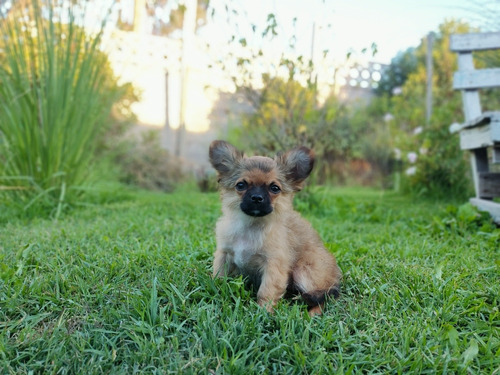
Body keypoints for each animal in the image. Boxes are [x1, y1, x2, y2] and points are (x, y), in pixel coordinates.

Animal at [207, 140, 340, 316]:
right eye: (241, 185)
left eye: (274, 188)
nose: (257, 198)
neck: (252, 225)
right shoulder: (224, 254)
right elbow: (219, 277)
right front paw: (217, 292)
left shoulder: (273, 265)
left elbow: (266, 291)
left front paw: (263, 312)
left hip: (303, 272)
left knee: (325, 296)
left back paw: (311, 314)